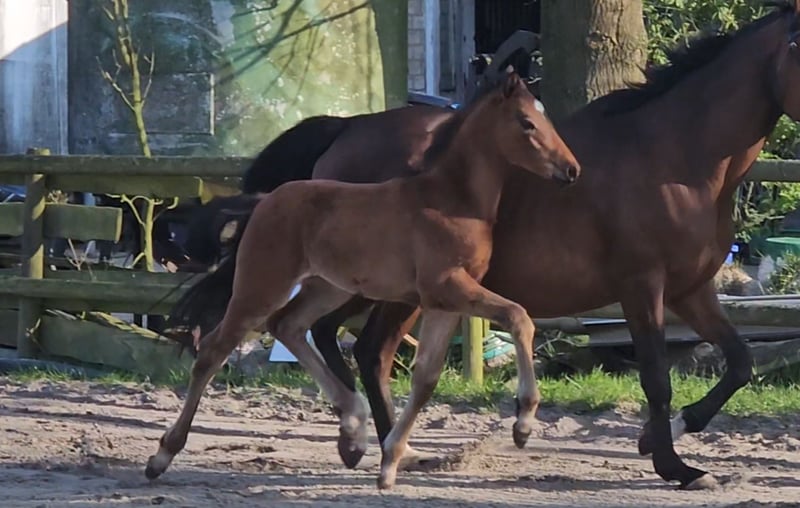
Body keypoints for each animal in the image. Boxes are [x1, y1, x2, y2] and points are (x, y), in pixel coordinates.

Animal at [147, 71, 580, 485]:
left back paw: (354, 429)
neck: (452, 199)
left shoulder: (442, 300)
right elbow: (518, 316)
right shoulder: (447, 286)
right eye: (527, 122)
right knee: (214, 350)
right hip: (262, 285)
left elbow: (426, 378)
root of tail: (266, 201)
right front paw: (523, 424)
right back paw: (162, 455)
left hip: (328, 288)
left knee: (290, 325)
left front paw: (390, 463)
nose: (571, 170)